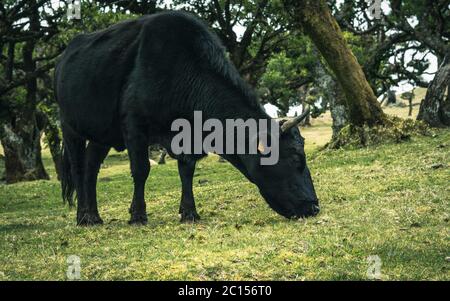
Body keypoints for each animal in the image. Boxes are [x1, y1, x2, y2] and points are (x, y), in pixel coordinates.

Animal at [54, 10, 318, 224]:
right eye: (296, 158)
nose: (314, 206)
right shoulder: (134, 125)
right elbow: (140, 169)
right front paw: (138, 215)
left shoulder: (188, 138)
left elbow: (187, 169)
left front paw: (189, 212)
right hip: (69, 127)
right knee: (78, 168)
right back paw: (83, 217)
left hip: (102, 134)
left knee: (91, 167)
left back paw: (94, 215)